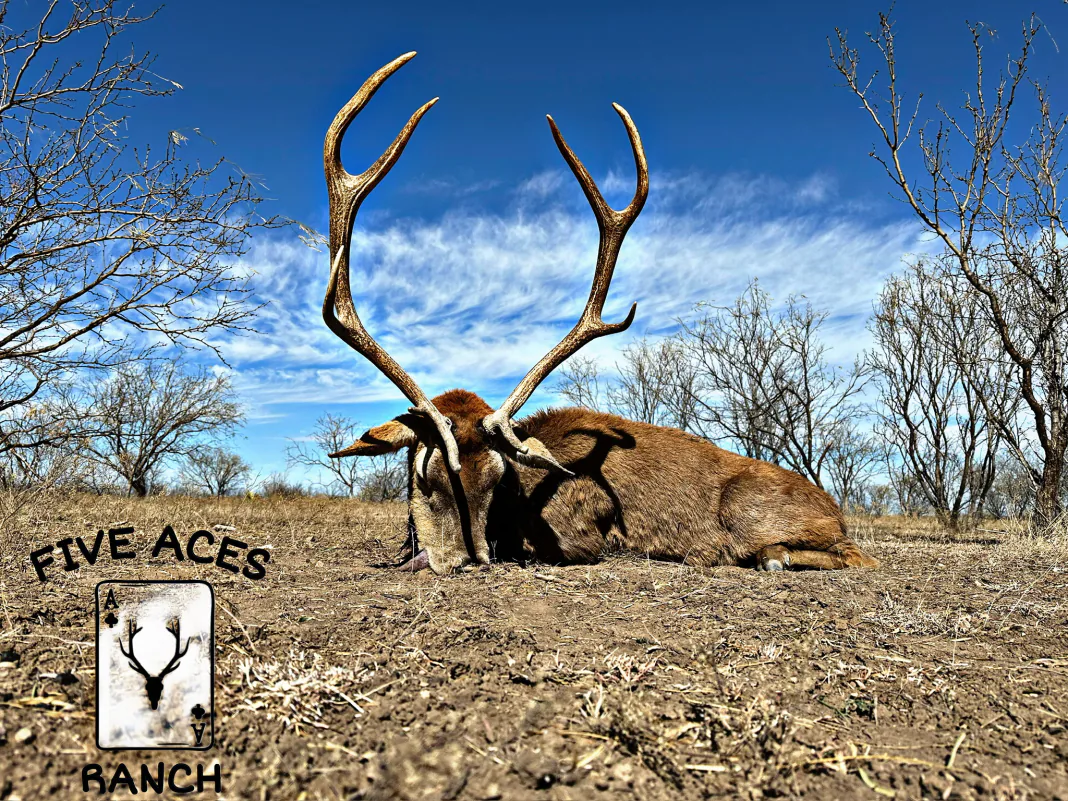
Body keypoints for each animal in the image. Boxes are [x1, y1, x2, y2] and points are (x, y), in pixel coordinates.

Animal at [320, 52, 879, 576]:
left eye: (498, 479)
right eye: (425, 475)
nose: (466, 558)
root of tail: (836, 509)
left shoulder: (580, 536)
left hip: (751, 511)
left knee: (856, 555)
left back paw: (776, 555)